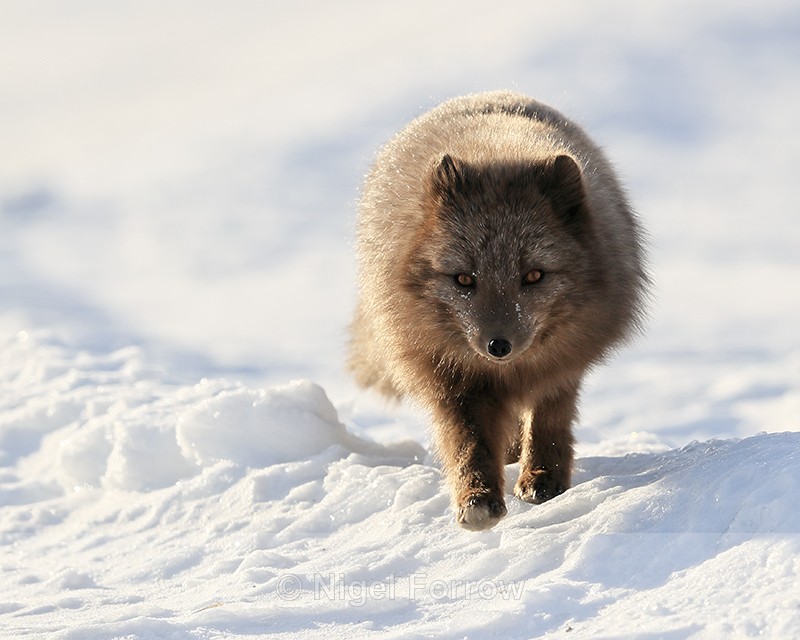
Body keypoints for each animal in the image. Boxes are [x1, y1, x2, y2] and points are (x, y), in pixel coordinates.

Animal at [348, 91, 648, 530]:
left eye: (534, 275)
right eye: (464, 279)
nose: (498, 346)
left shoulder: (562, 366)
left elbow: (549, 421)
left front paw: (543, 479)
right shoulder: (450, 378)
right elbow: (468, 442)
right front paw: (477, 499)